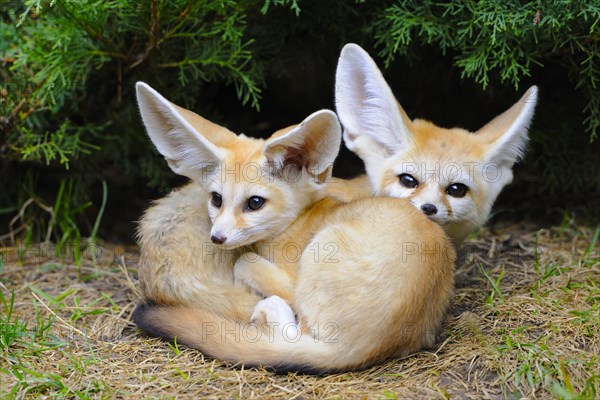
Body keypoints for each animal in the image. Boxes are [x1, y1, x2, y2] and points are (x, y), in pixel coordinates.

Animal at [134, 82, 454, 376]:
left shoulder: (288, 280)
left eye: (255, 203)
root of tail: (368, 347)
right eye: (216, 199)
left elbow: (244, 261)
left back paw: (268, 310)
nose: (217, 238)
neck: (297, 222)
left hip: (319, 258)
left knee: (293, 334)